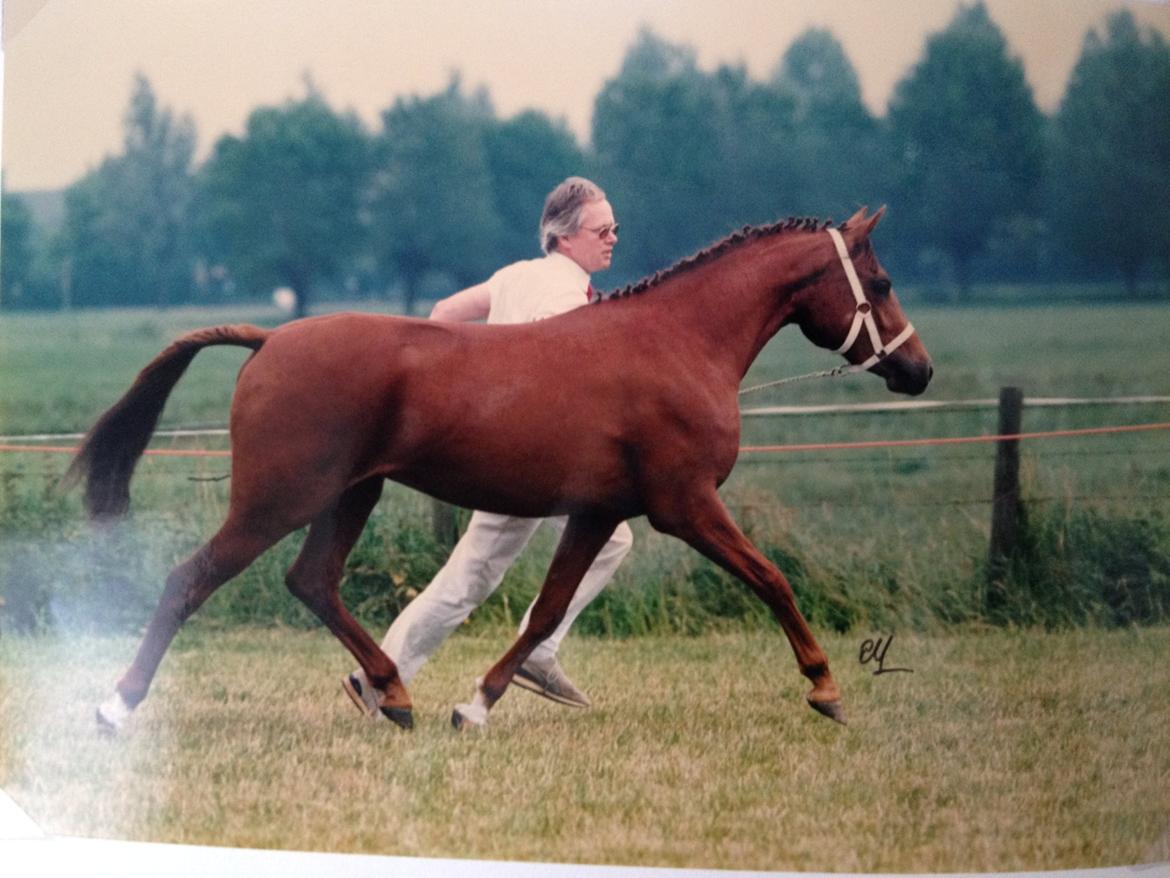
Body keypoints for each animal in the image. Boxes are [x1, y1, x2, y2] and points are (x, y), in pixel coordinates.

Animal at [70, 208, 931, 735]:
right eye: (882, 283)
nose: (917, 370)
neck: (678, 344)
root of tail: (270, 338)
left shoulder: (597, 513)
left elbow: (547, 613)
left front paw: (476, 705)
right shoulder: (684, 505)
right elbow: (772, 579)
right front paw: (825, 687)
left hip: (349, 496)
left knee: (311, 581)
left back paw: (393, 693)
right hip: (279, 498)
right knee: (192, 578)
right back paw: (117, 706)